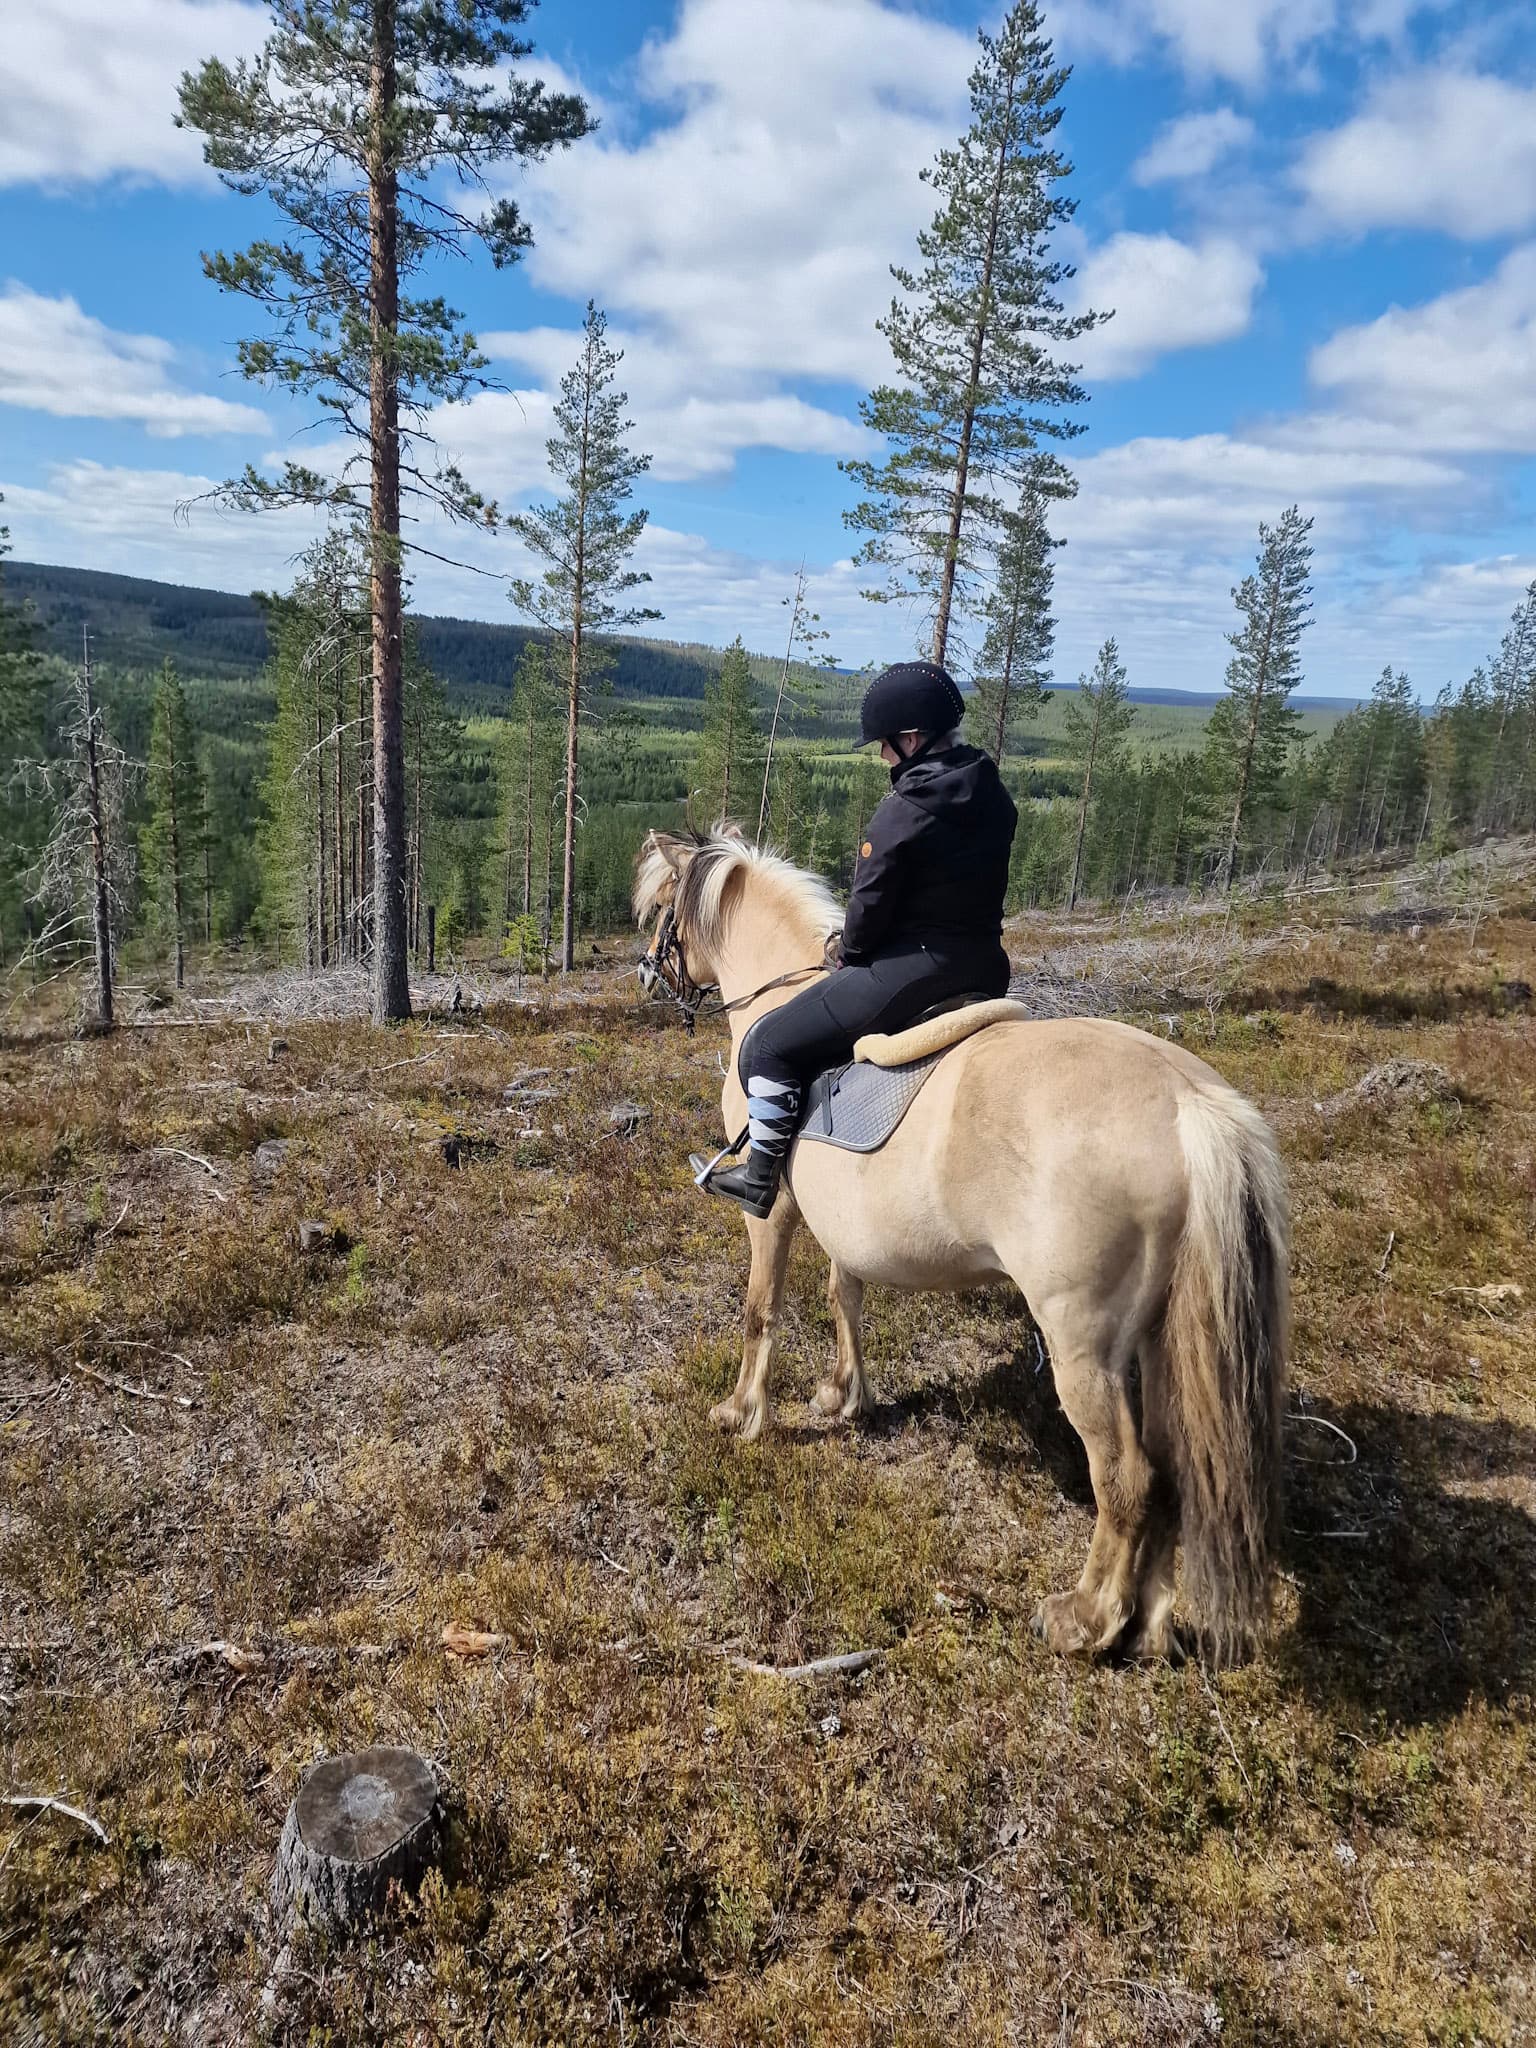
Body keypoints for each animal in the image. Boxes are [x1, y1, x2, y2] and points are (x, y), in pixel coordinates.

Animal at [634, 828, 1289, 1664]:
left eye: (662, 909)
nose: (647, 972)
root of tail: (1190, 1104)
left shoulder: (771, 1211)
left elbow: (761, 1312)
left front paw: (741, 1412)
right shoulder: (844, 1225)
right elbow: (844, 1298)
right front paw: (843, 1395)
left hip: (1082, 1344)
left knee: (1126, 1477)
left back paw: (1085, 1619)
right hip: (1166, 1335)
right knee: (1175, 1469)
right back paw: (1147, 1625)